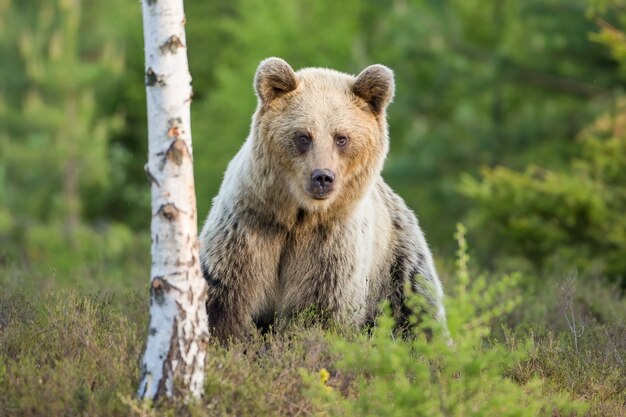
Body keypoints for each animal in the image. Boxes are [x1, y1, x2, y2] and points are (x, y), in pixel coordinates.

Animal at [197, 57, 446, 340]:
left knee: (417, 314)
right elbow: (227, 302)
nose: (323, 177)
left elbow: (320, 312)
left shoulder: (330, 247)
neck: (298, 216)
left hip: (398, 264)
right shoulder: (250, 229)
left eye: (342, 138)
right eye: (303, 136)